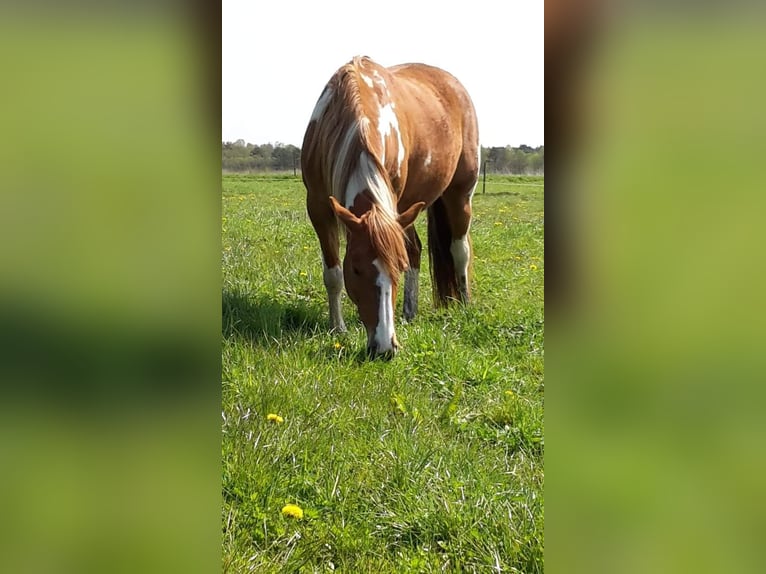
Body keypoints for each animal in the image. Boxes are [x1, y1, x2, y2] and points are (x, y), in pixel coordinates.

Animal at [302, 55, 476, 360]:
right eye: (356, 269)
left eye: (397, 268)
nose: (385, 348)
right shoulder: (319, 208)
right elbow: (333, 274)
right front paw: (337, 328)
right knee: (416, 248)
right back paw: (409, 311)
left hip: (460, 194)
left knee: (460, 250)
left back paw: (464, 304)